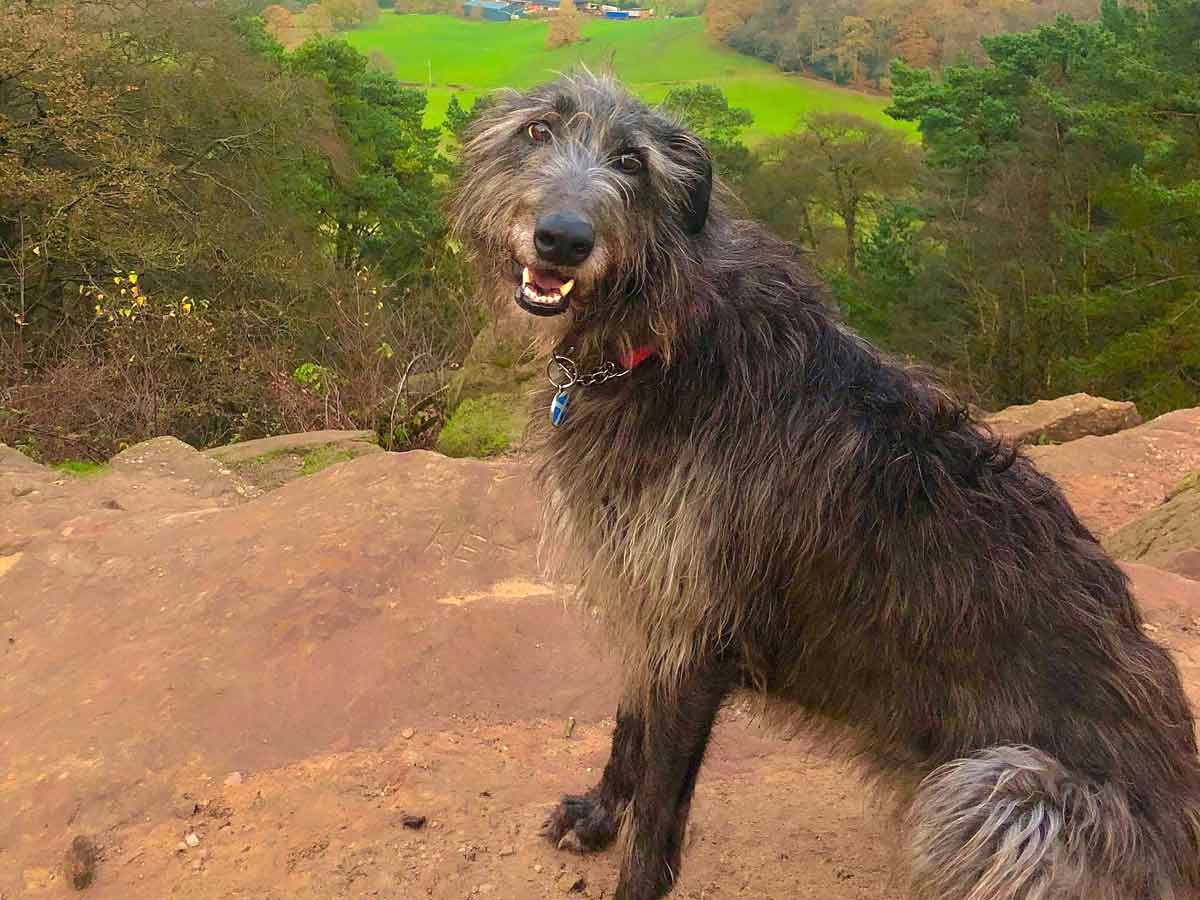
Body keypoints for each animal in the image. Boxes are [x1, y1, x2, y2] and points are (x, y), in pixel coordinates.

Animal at [451, 74, 1200, 900]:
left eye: (632, 162)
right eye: (538, 130)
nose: (562, 239)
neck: (662, 337)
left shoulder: (699, 633)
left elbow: (659, 809)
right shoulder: (652, 600)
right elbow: (628, 731)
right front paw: (595, 814)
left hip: (1006, 789)